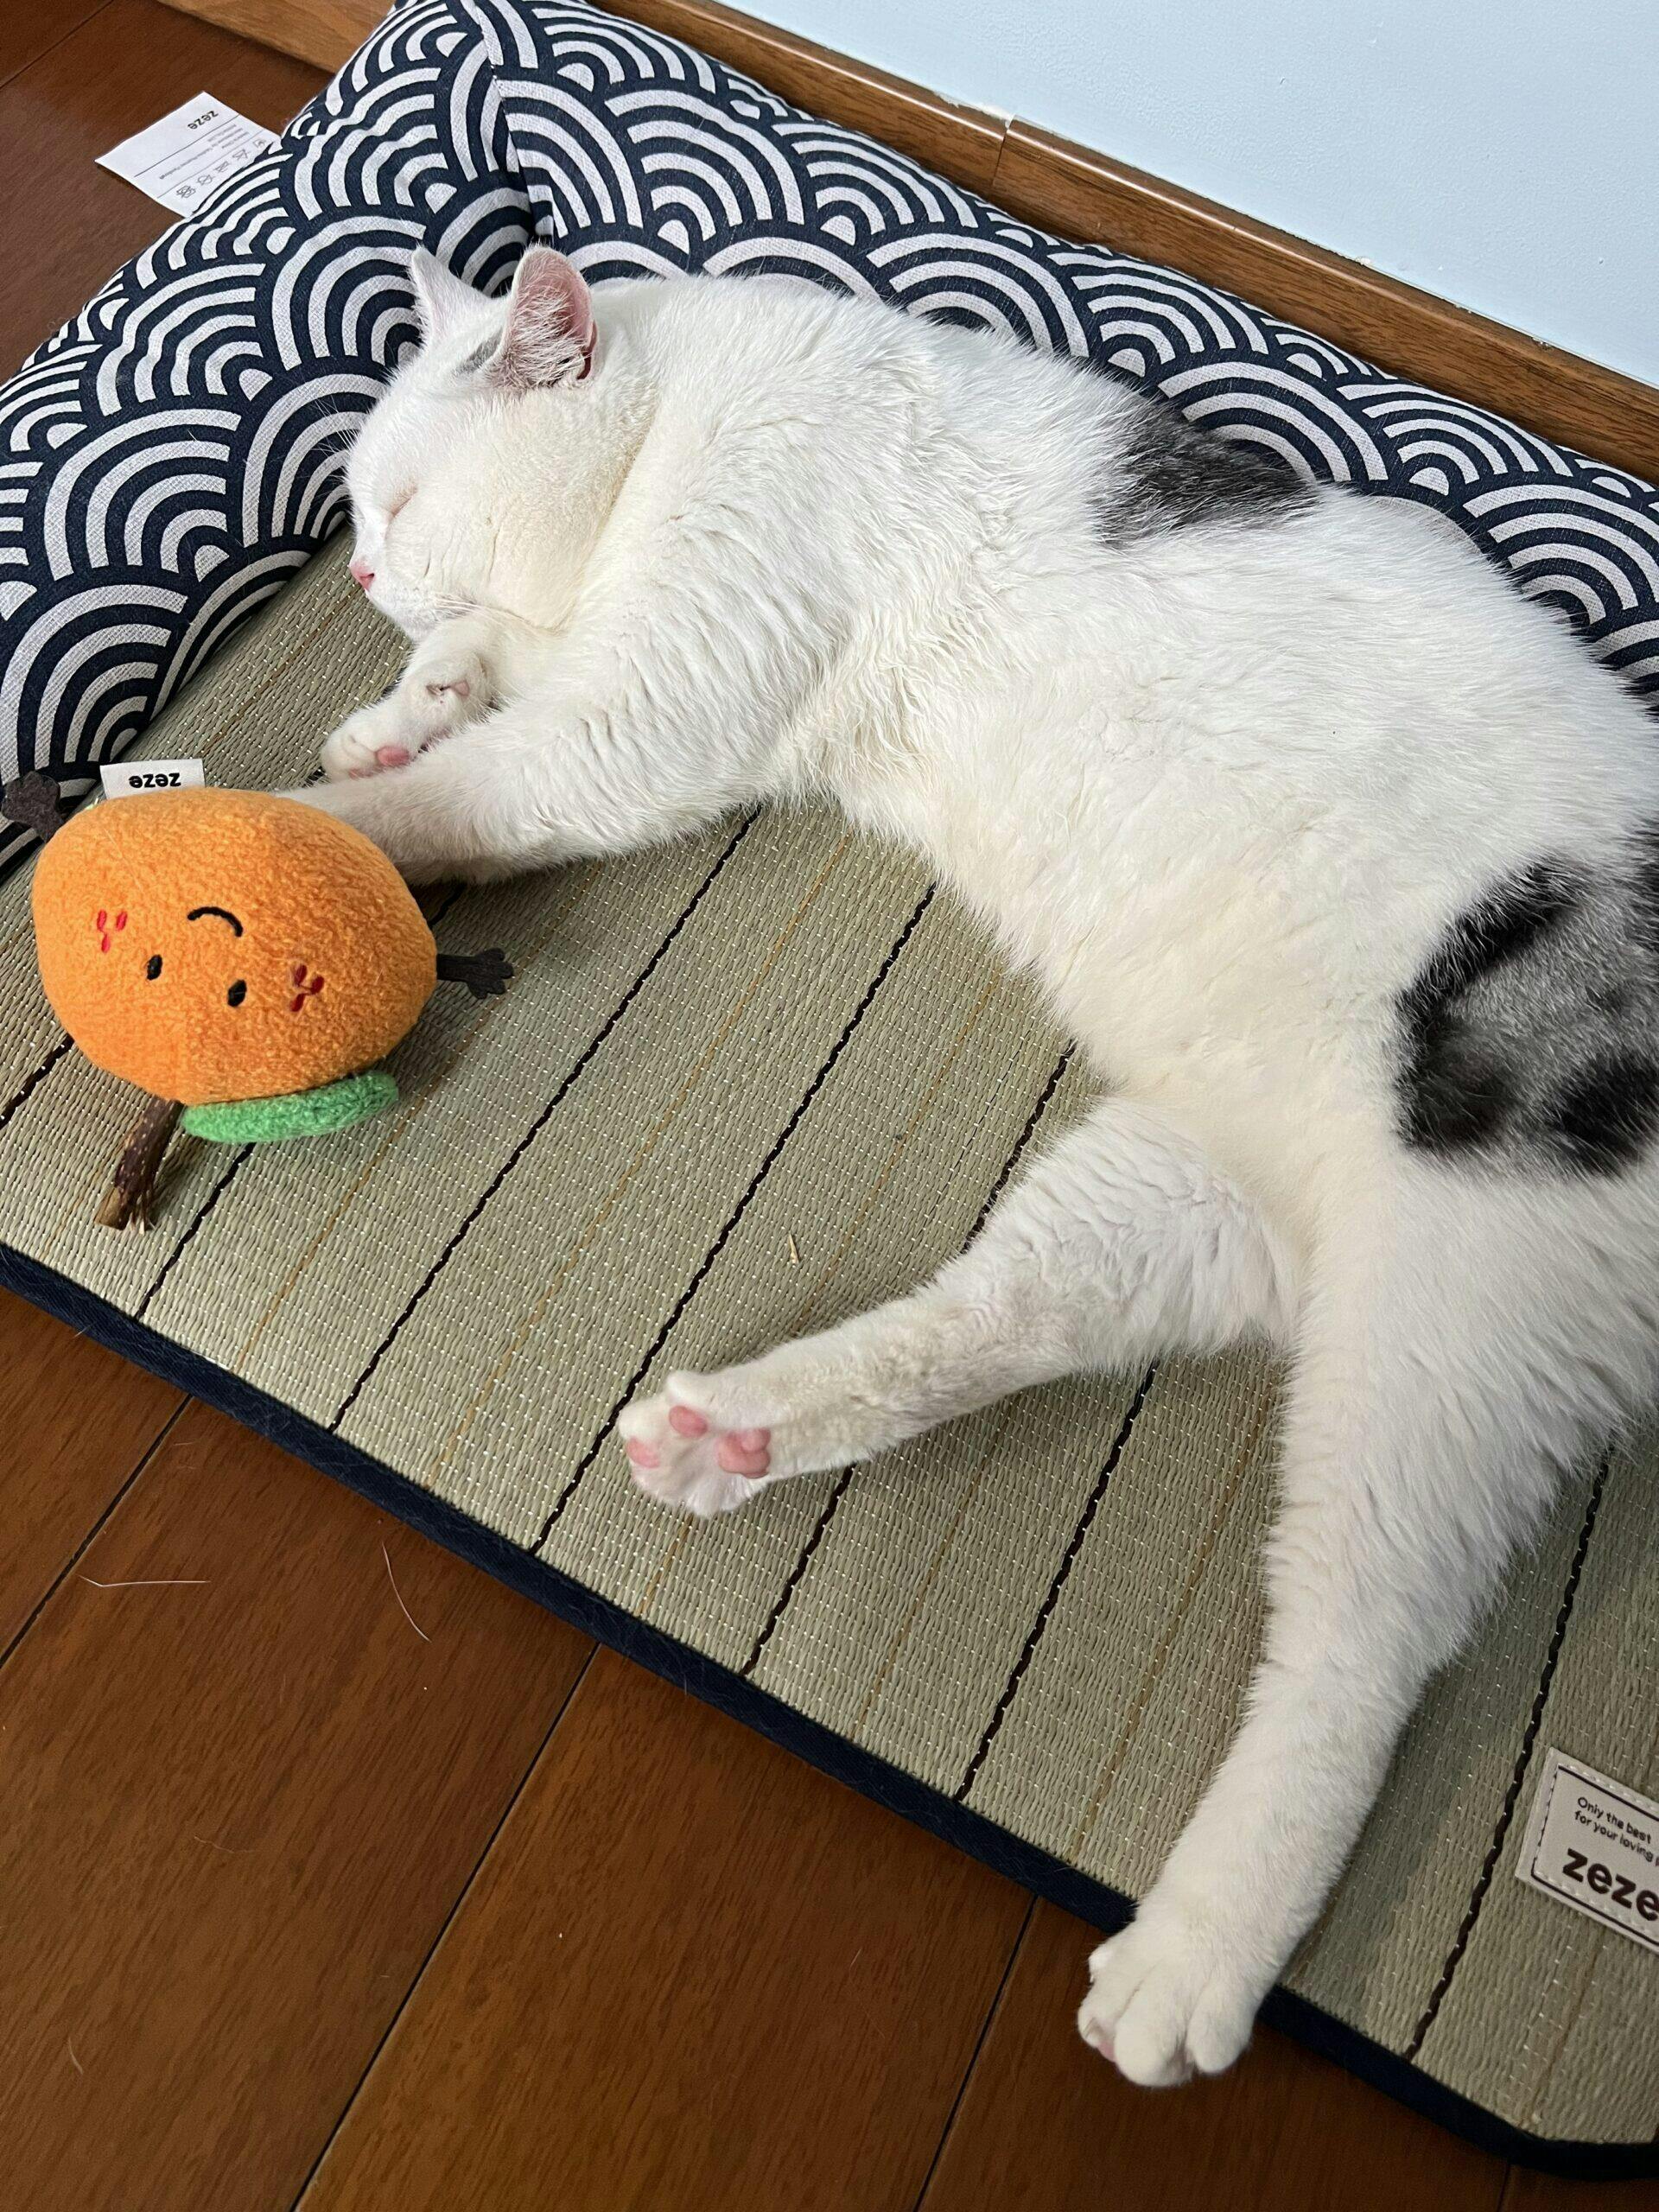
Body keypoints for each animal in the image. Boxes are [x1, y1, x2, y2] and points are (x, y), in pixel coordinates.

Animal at [295, 242, 1659, 2089]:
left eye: (403, 494)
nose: (365, 565)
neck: (681, 417)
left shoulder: (657, 704)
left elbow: (486, 783)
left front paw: (279, 839)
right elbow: (496, 667)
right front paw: (404, 708)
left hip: (1449, 1330)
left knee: (1359, 1648)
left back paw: (1191, 1962)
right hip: (1181, 1187)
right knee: (1001, 1324)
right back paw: (736, 1434)